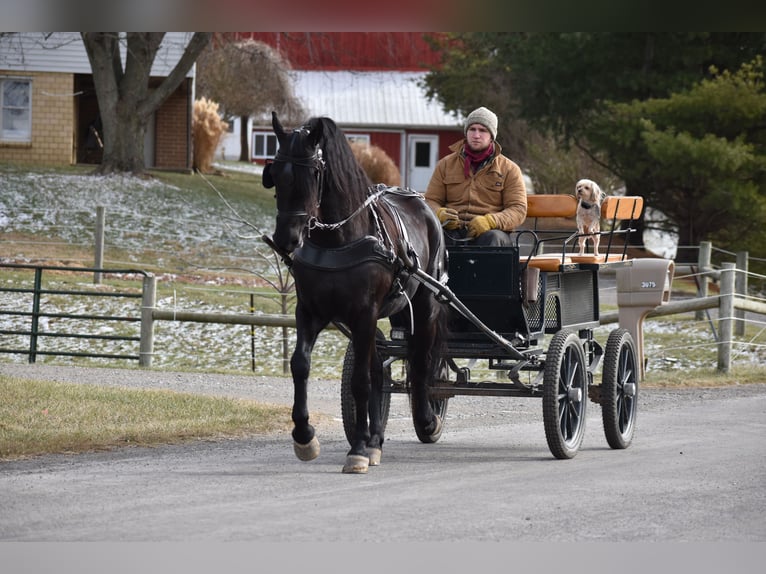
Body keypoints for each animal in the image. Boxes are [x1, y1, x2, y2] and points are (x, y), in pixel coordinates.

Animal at [262, 111, 450, 472]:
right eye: (275, 174)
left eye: (314, 174)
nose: (286, 238)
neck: (337, 240)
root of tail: (422, 205)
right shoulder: (310, 312)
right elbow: (301, 365)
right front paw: (305, 436)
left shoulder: (364, 313)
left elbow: (360, 381)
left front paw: (359, 448)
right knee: (380, 370)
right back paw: (376, 438)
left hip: (425, 304)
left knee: (421, 361)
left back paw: (425, 419)